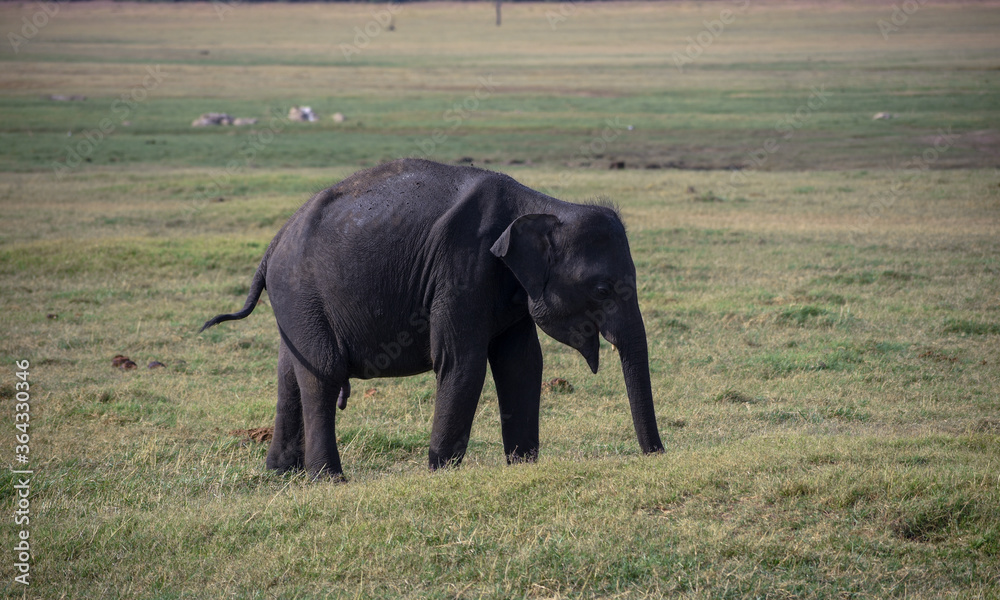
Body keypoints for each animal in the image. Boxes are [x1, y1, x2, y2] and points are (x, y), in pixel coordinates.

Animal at [201, 158, 664, 479]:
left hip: (294, 305)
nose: (657, 455)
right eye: (602, 290)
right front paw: (441, 472)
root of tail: (274, 243)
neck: (542, 204)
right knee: (322, 374)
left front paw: (522, 466)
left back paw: (281, 473)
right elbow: (462, 362)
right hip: (302, 294)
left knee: (289, 375)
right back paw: (328, 479)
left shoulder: (509, 287)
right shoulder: (461, 268)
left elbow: (522, 364)